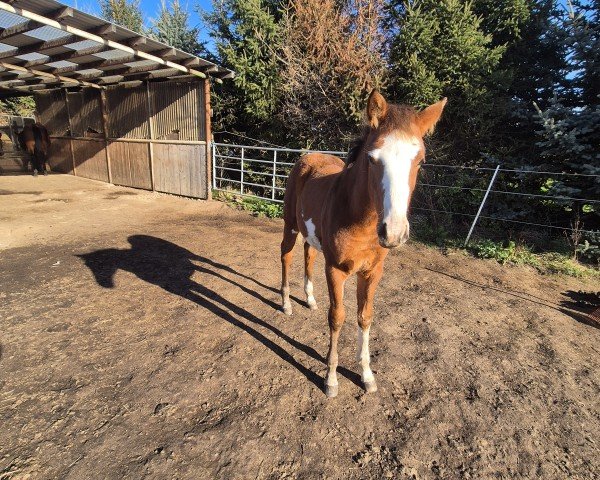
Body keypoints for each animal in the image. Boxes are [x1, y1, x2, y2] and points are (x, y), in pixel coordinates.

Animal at [280, 90, 446, 398]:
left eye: (420, 161)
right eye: (372, 158)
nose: (393, 232)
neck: (361, 222)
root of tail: (307, 157)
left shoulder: (371, 272)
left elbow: (364, 316)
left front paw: (367, 375)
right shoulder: (335, 270)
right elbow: (337, 317)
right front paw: (331, 379)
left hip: (310, 233)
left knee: (308, 256)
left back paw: (309, 299)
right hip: (290, 226)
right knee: (286, 256)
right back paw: (285, 304)